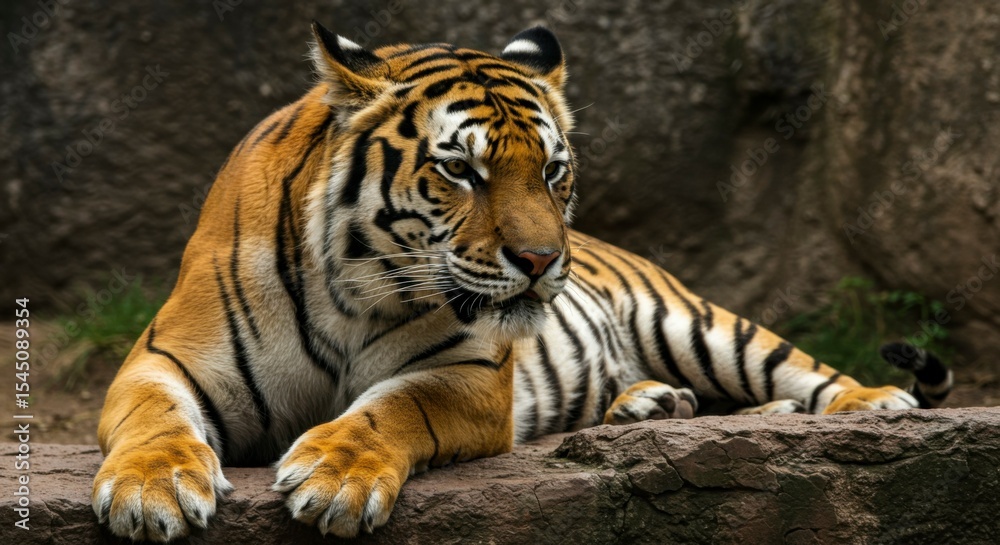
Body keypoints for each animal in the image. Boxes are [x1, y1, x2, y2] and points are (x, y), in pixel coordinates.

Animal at [92, 22, 953, 541]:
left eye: (552, 170)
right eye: (461, 170)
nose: (541, 260)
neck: (352, 290)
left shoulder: (469, 374)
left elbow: (388, 409)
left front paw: (334, 477)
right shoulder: (164, 358)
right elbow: (153, 420)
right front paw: (149, 491)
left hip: (699, 323)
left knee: (802, 371)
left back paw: (871, 403)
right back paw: (650, 404)